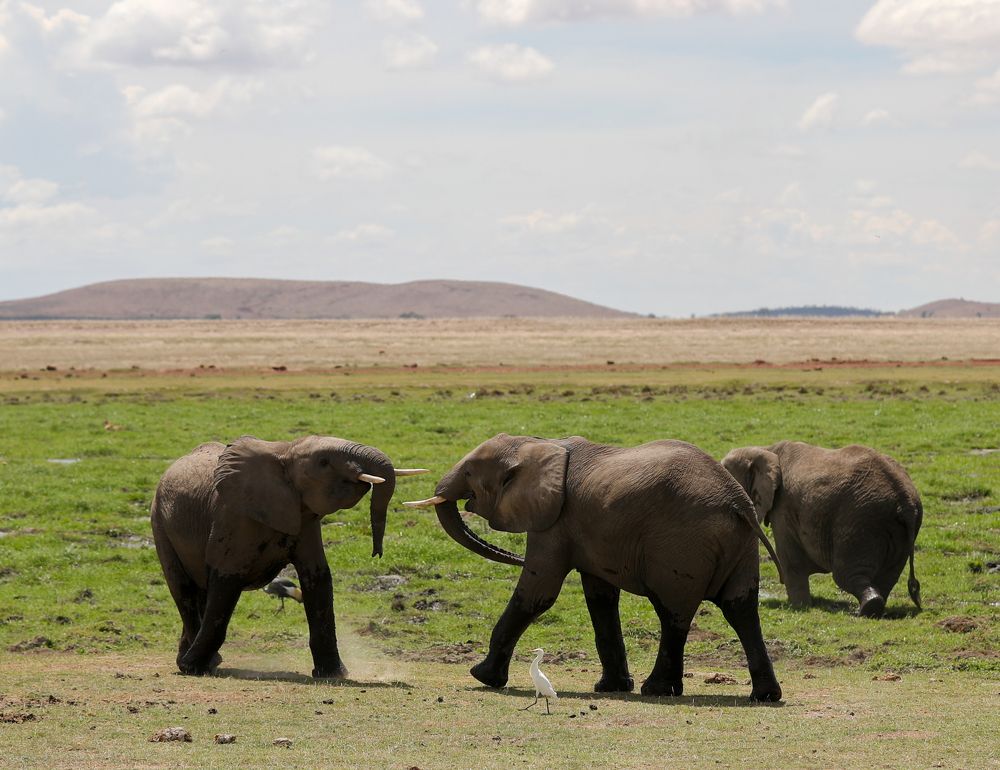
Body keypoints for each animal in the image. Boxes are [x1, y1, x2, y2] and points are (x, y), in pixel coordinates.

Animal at [150, 434, 425, 677]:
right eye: (323, 462)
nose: (377, 552)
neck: (285, 451)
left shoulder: (305, 518)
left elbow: (318, 580)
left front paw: (334, 674)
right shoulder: (232, 517)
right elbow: (225, 582)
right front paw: (193, 668)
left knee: (202, 591)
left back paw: (198, 661)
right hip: (159, 523)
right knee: (185, 591)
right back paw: (197, 664)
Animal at [404, 433, 784, 701]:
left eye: (469, 471)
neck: (536, 444)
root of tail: (738, 503)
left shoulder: (554, 522)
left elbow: (538, 593)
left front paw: (482, 677)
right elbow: (600, 599)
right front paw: (611, 687)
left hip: (681, 545)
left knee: (673, 613)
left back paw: (657, 690)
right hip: (740, 547)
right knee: (741, 609)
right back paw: (764, 696)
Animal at [721, 441, 922, 618]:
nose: (779, 579)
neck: (766, 450)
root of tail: (905, 500)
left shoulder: (783, 507)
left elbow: (791, 560)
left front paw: (799, 607)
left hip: (859, 520)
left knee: (844, 575)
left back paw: (865, 610)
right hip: (895, 530)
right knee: (887, 577)